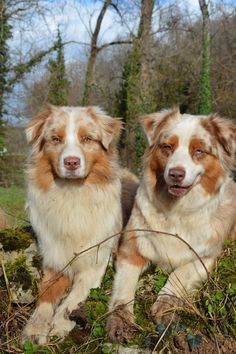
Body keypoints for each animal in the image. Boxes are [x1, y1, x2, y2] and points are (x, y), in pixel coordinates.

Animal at [20, 106, 138, 346]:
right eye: (55, 139)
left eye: (87, 138)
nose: (71, 162)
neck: (72, 195)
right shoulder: (54, 258)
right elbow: (45, 294)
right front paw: (35, 327)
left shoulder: (96, 259)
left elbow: (75, 295)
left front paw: (60, 323)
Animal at [107, 108, 236, 342]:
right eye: (167, 147)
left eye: (199, 151)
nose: (176, 173)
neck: (176, 210)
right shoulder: (131, 249)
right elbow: (123, 287)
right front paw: (120, 320)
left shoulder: (207, 256)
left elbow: (181, 273)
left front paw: (167, 303)